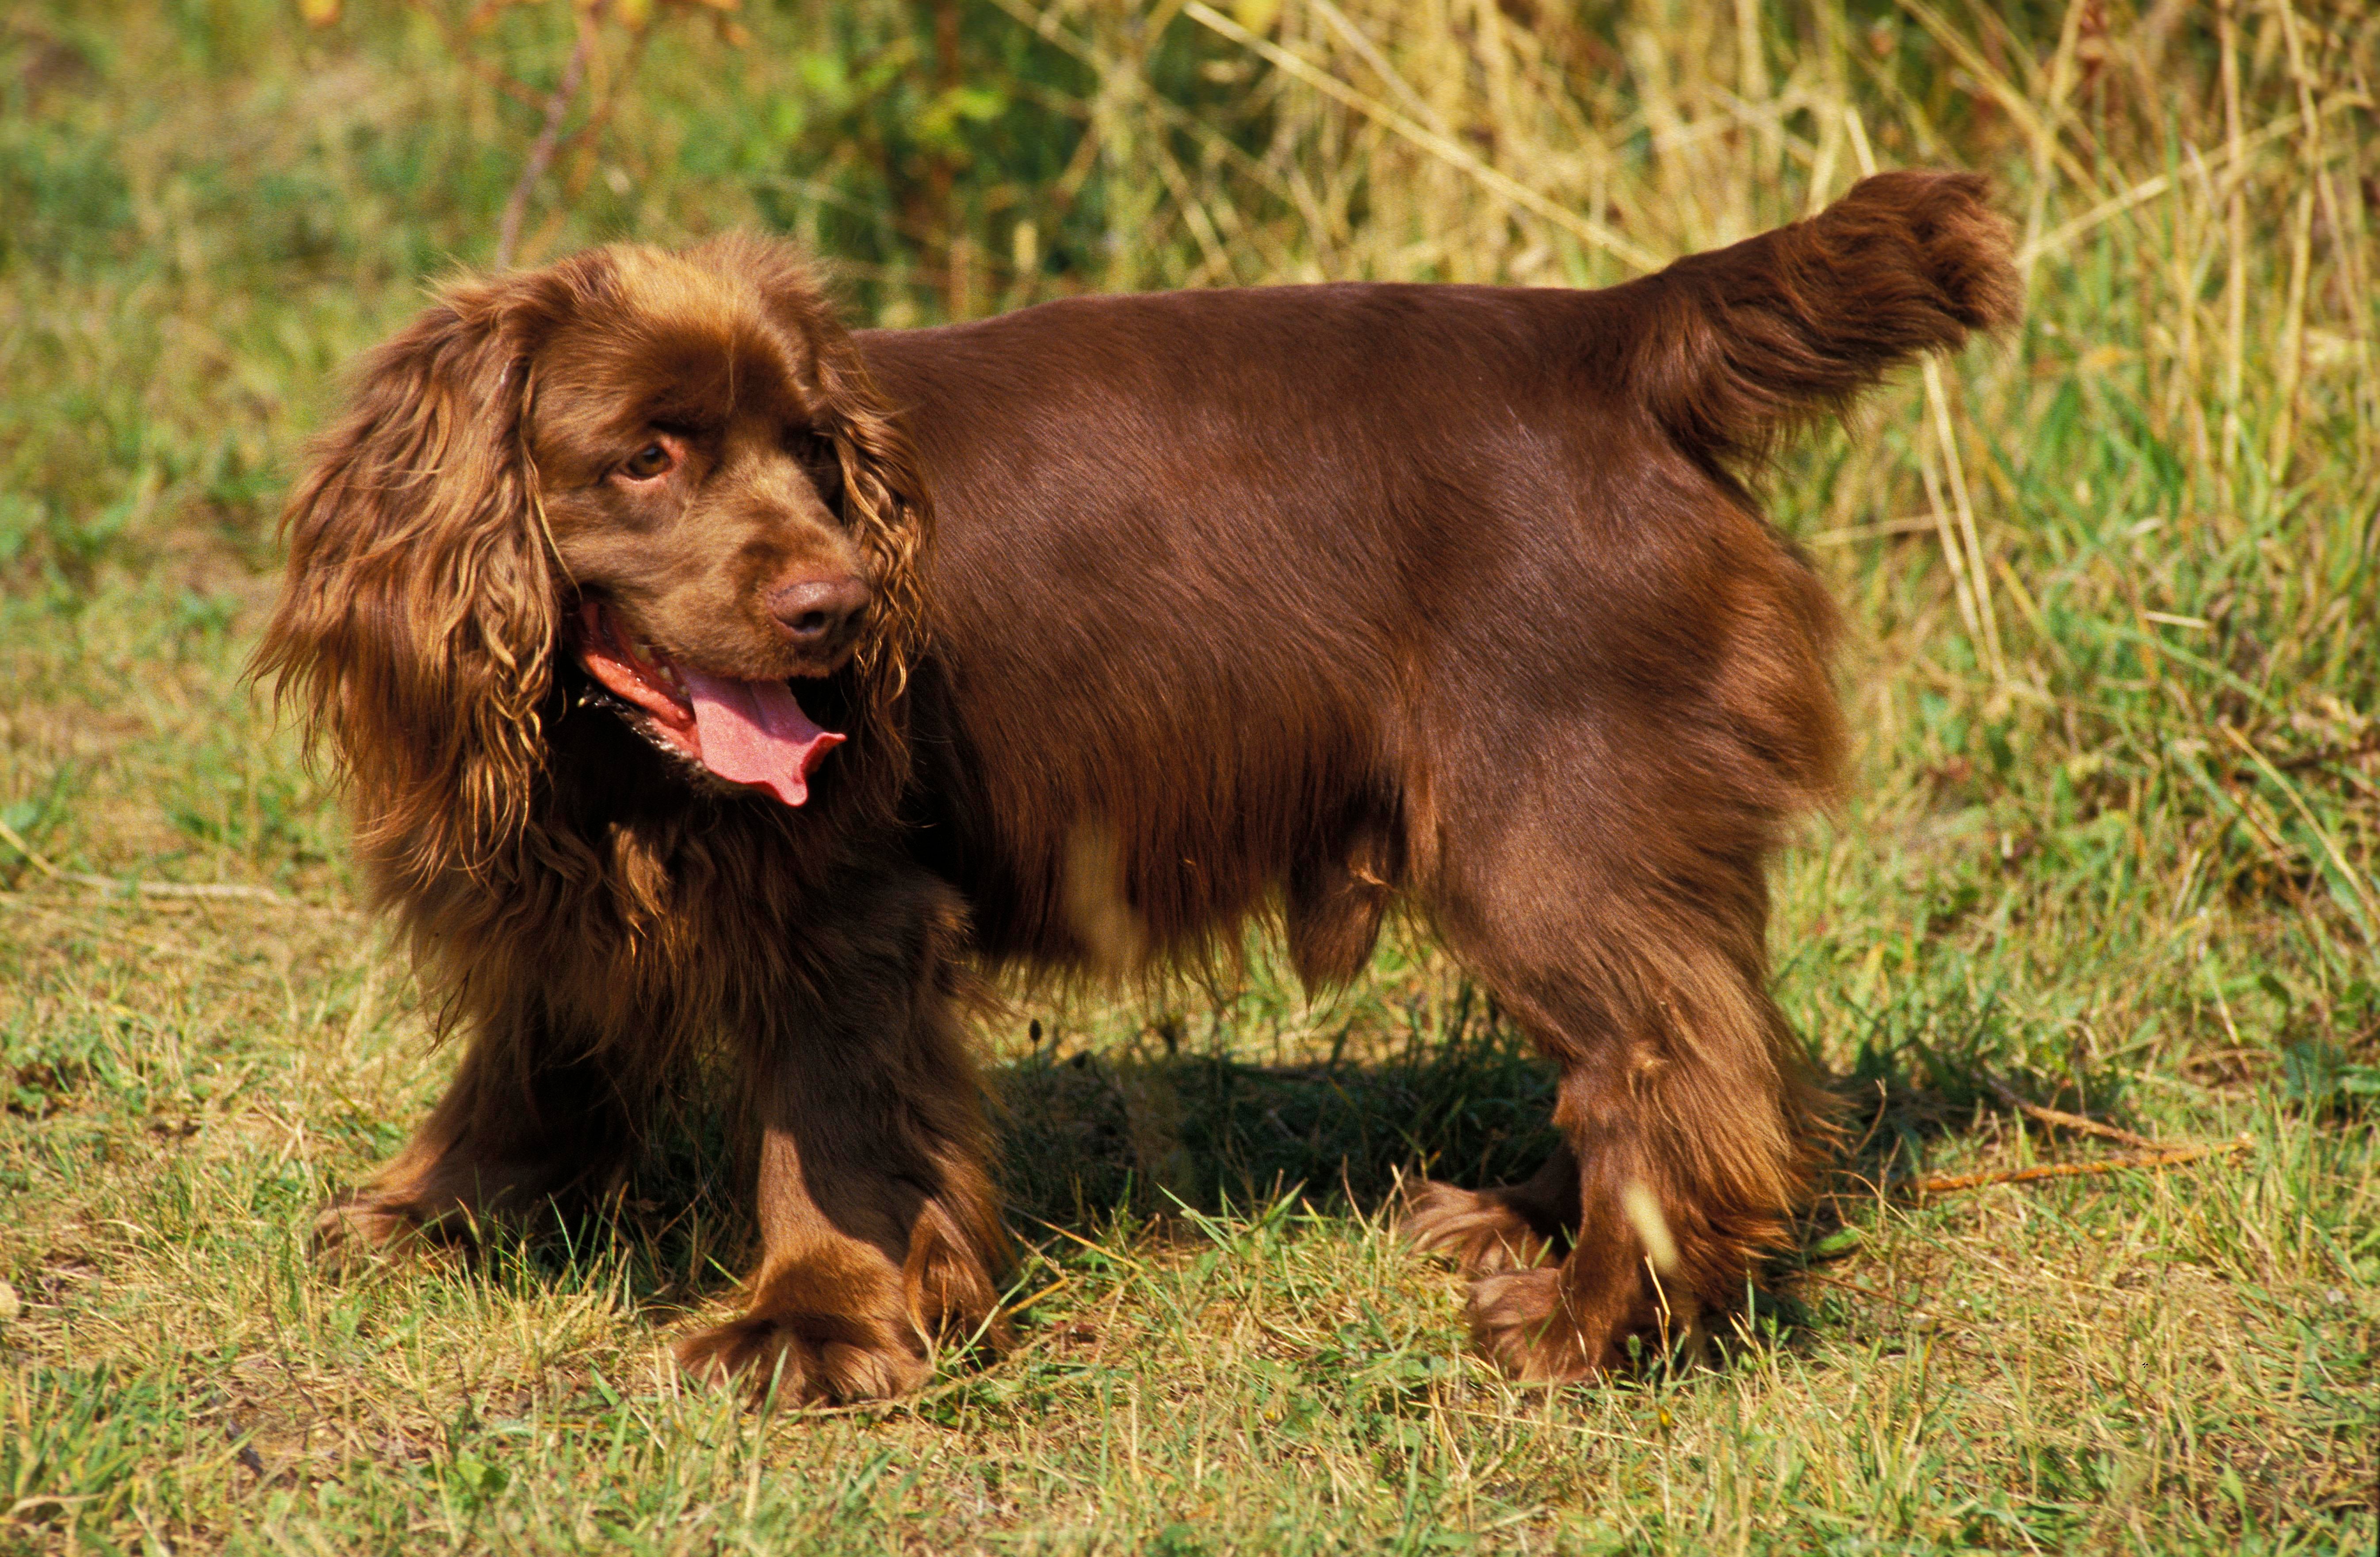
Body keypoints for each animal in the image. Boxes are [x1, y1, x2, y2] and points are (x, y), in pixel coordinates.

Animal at [260, 171, 2009, 1400]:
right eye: (645, 457)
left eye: (814, 451)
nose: (837, 609)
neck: (595, 760)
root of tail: (1608, 337)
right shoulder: (559, 888)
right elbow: (533, 1055)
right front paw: (439, 1214)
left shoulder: (846, 901)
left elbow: (829, 1123)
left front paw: (813, 1325)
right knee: (1701, 1034)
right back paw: (1521, 1217)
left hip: (1547, 808)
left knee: (1667, 1067)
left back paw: (1586, 1318)